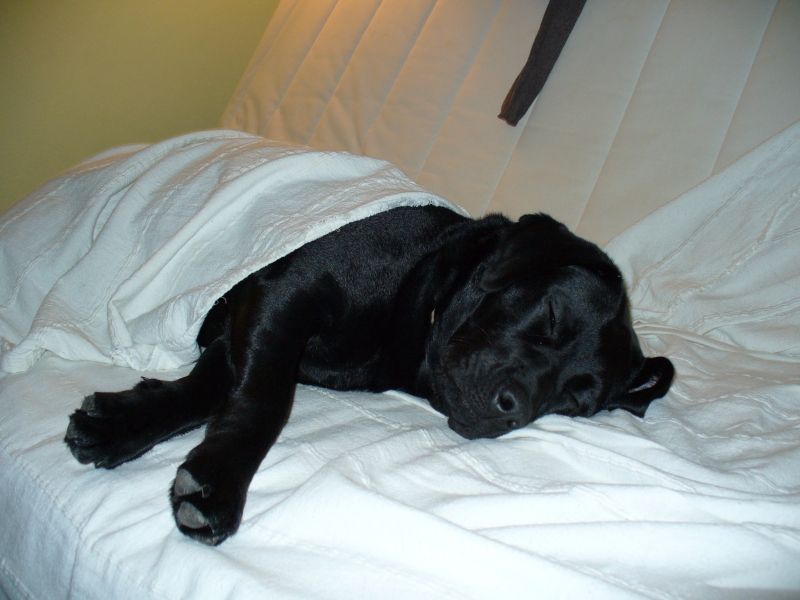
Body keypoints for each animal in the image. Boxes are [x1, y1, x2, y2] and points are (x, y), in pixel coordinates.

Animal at [65, 206, 674, 545]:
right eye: (551, 316)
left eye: (574, 403)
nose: (514, 408)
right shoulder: (280, 294)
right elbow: (261, 400)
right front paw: (219, 483)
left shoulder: (251, 320)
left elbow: (210, 391)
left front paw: (120, 424)